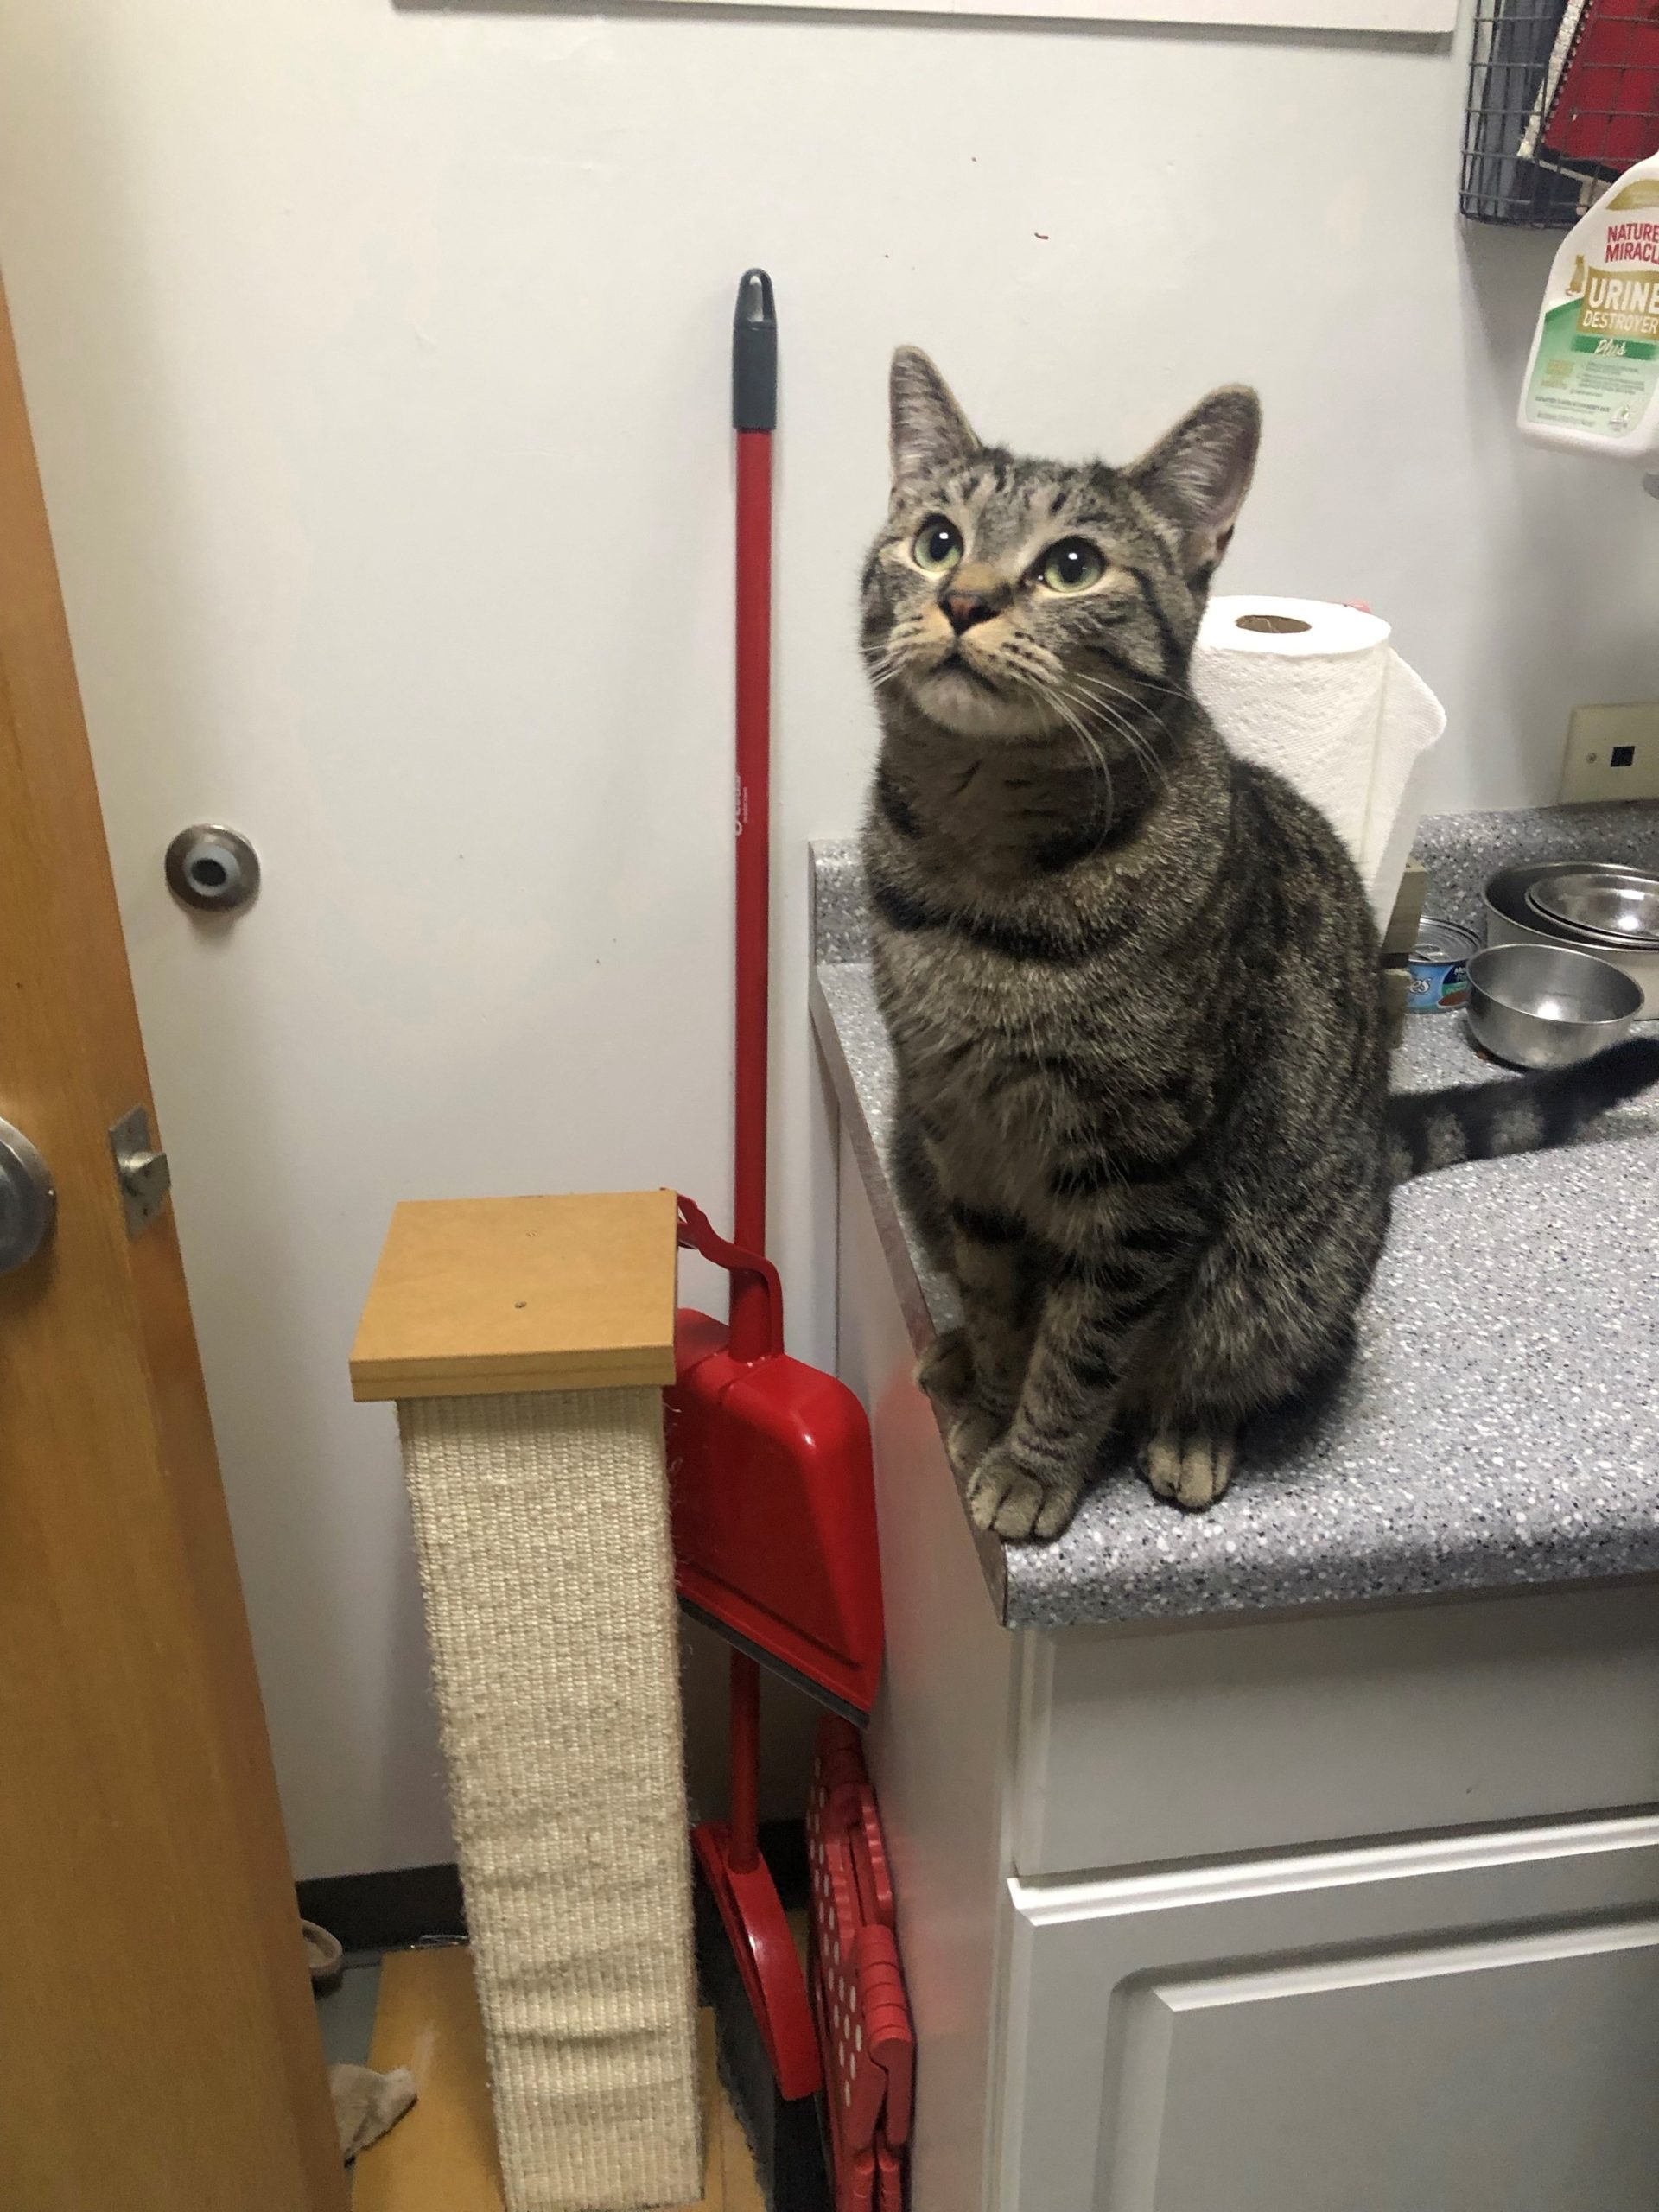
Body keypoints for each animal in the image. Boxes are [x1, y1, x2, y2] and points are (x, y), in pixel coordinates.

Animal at [860, 346, 1659, 1540]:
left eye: (1071, 565)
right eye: (937, 541)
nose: (962, 600)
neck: (987, 863)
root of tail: (1374, 1139)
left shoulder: (1143, 1175)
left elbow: (1083, 1348)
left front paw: (1037, 1459)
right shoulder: (961, 1135)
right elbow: (1002, 1302)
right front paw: (994, 1400)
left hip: (1282, 1263)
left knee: (1241, 1361)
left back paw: (1193, 1430)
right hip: (911, 1144)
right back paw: (957, 1358)